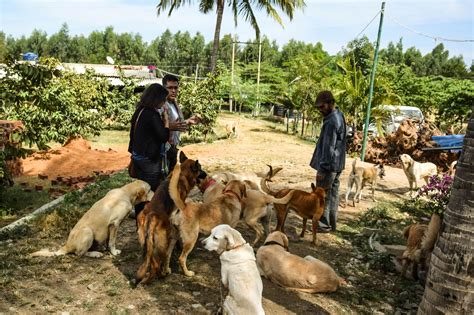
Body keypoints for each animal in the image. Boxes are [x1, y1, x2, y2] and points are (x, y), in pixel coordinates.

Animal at [135, 152, 206, 286]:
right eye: (200, 169)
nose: (207, 174)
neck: (182, 173)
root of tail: (152, 216)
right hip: (162, 243)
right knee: (159, 262)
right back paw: (163, 274)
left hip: (147, 244)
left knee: (152, 262)